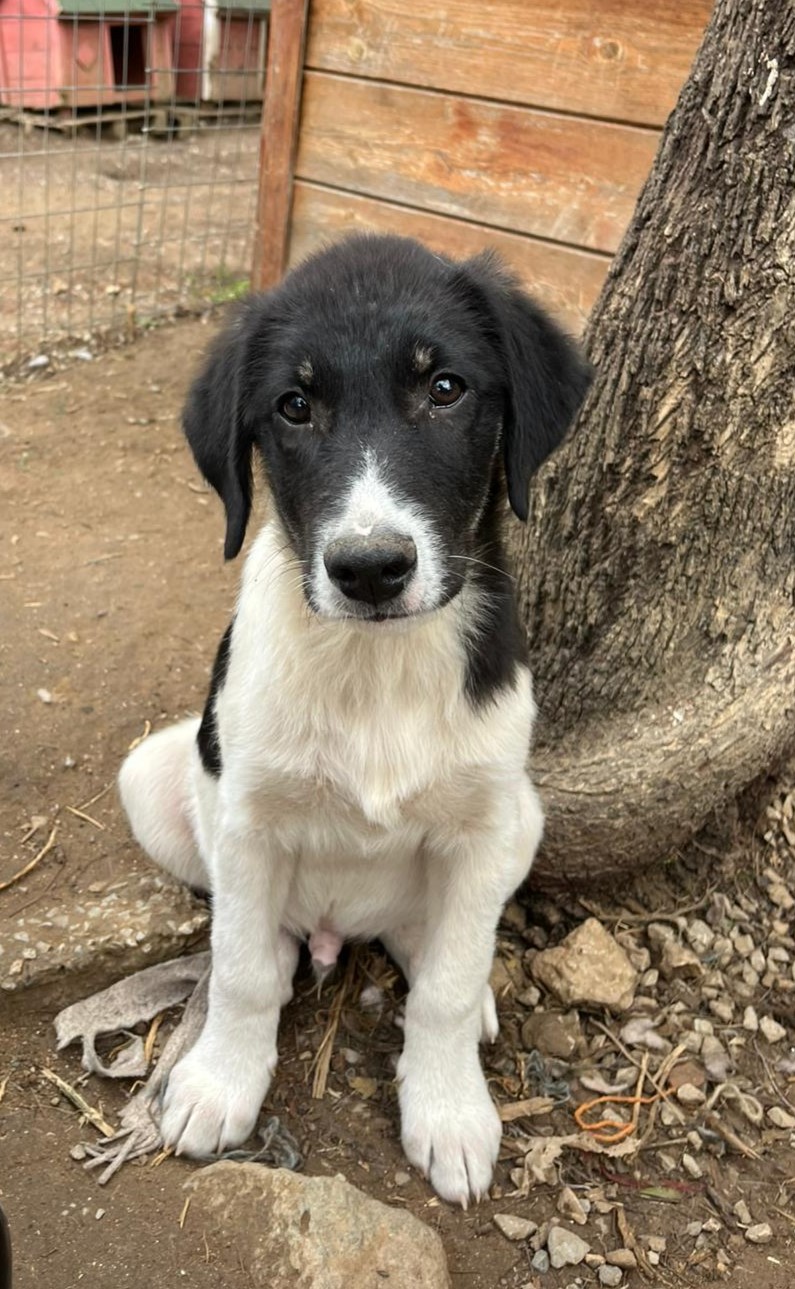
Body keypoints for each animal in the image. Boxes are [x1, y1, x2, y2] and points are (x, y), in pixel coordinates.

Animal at [119, 233, 589, 1205]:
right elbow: (241, 971)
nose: (369, 568)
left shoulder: (484, 825)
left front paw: (448, 1111)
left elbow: (444, 984)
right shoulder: (247, 819)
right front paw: (218, 1083)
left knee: (437, 940)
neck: (376, 666)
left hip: (523, 813)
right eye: (294, 406)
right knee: (255, 933)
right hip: (156, 779)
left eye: (444, 386)